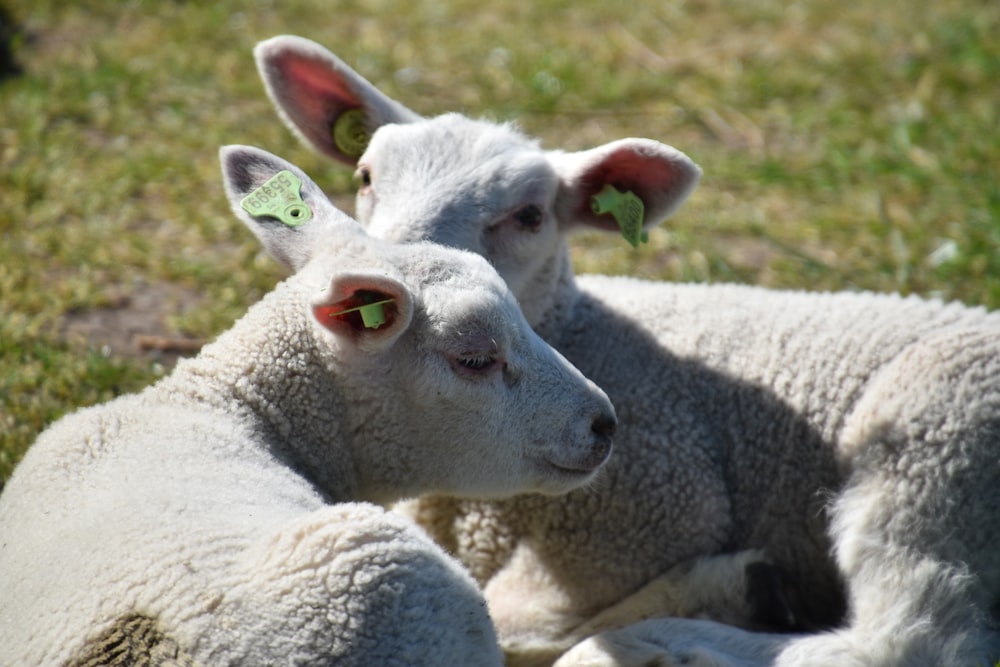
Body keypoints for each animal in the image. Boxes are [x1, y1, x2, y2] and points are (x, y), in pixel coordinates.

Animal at [254, 36, 1000, 667]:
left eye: (530, 215)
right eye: (364, 175)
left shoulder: (649, 513)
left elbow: (510, 622)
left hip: (937, 449)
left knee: (907, 638)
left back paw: (676, 634)